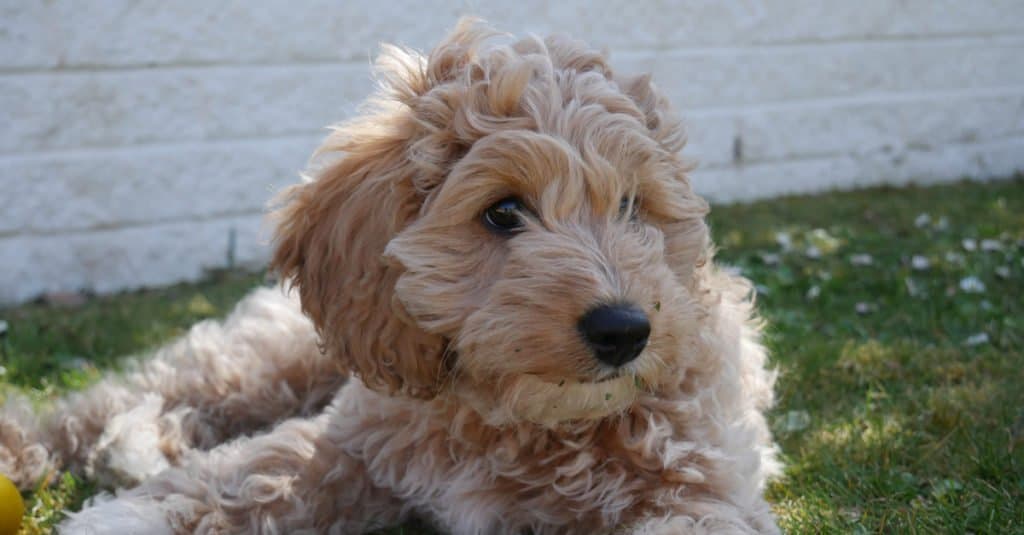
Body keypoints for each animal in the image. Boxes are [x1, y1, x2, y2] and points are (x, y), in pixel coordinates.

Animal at [0, 17, 778, 532]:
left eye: (630, 206)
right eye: (503, 212)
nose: (625, 330)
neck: (518, 421)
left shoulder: (698, 490)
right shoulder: (350, 445)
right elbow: (245, 472)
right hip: (268, 358)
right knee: (121, 395)